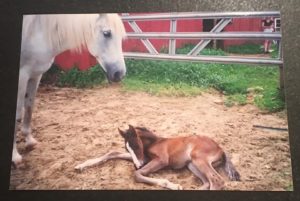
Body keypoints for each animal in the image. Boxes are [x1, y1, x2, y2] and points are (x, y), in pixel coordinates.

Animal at [12, 13, 127, 166]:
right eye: (107, 33)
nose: (120, 74)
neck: (38, 31)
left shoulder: (35, 75)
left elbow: (29, 107)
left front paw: (29, 141)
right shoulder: (22, 76)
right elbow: (17, 115)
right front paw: (14, 156)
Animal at [74, 125, 239, 189]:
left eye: (136, 146)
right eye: (128, 148)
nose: (137, 164)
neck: (153, 143)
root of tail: (220, 148)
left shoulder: (160, 160)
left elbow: (137, 174)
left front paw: (171, 184)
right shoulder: (144, 159)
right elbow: (112, 153)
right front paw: (80, 165)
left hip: (199, 159)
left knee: (216, 181)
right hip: (192, 164)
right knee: (206, 182)